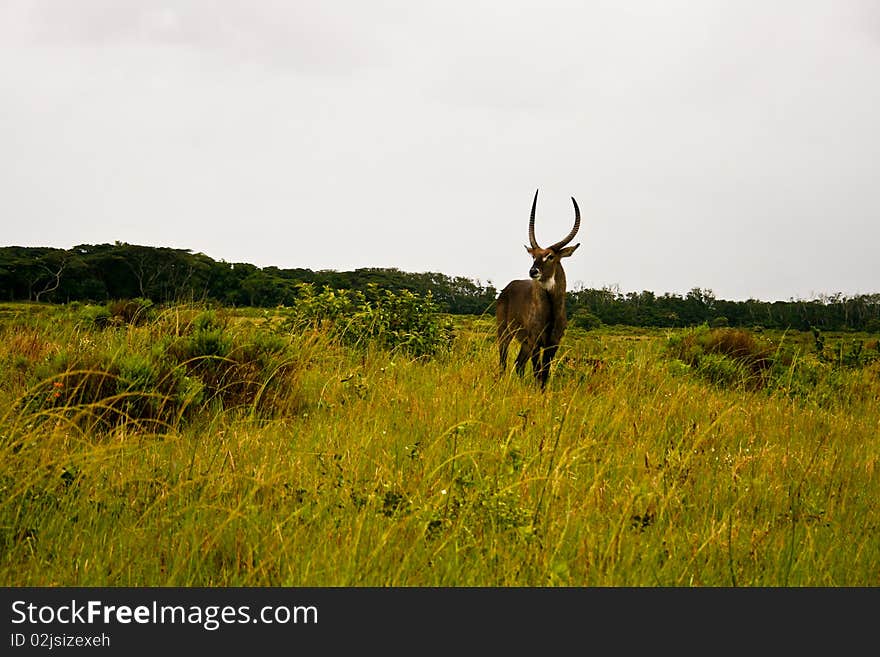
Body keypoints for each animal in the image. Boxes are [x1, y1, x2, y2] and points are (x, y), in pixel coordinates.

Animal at [498, 187, 580, 386]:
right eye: (533, 255)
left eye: (550, 256)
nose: (533, 271)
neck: (551, 310)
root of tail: (507, 288)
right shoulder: (535, 341)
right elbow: (537, 372)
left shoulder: (553, 343)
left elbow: (545, 373)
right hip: (504, 332)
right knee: (504, 360)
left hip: (524, 343)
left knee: (518, 364)